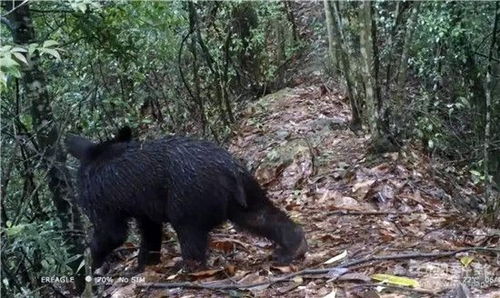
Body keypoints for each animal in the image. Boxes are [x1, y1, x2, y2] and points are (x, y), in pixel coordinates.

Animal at [65, 127, 308, 272]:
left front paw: (90, 263)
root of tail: (228, 170)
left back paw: (188, 269)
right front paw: (145, 264)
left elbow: (111, 233)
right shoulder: (145, 206)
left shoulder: (104, 200)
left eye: (84, 199)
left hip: (188, 197)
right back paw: (293, 246)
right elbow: (150, 233)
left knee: (190, 234)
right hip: (245, 191)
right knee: (260, 215)